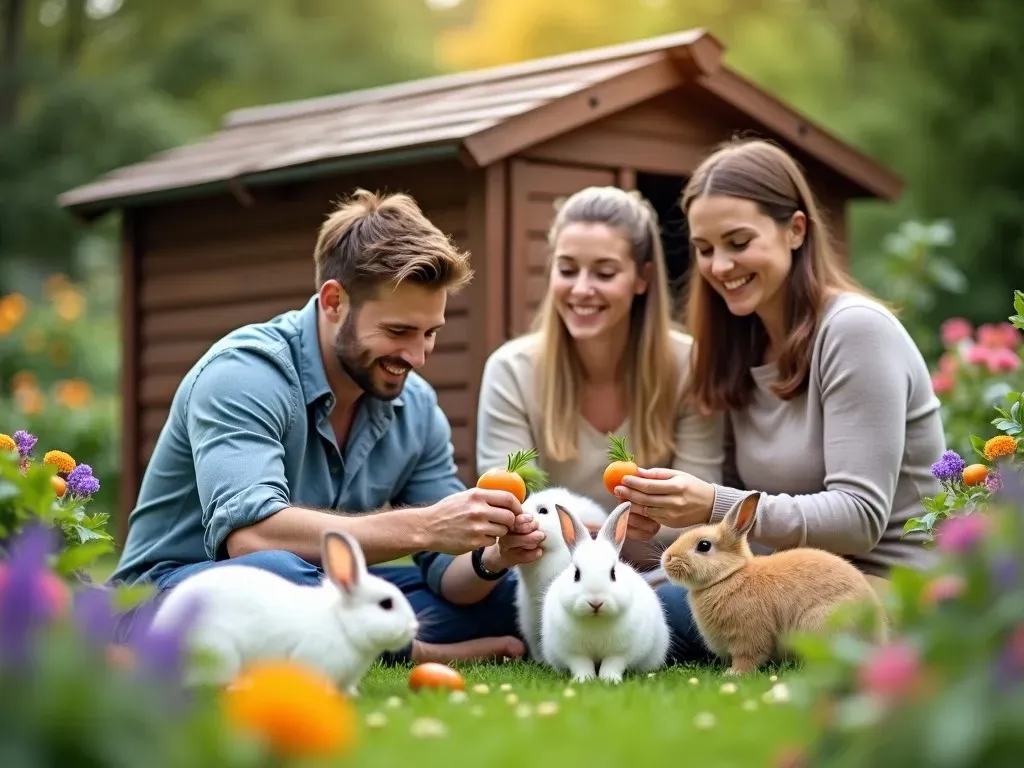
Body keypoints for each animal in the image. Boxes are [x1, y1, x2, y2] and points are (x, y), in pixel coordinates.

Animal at [536, 505, 671, 684]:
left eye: (613, 573)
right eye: (576, 574)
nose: (595, 602)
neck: (596, 621)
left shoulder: (621, 652)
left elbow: (612, 664)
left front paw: (609, 680)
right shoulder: (574, 653)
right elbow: (581, 664)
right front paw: (584, 680)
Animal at [659, 493, 884, 671]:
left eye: (703, 546)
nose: (666, 558)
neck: (730, 575)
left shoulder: (748, 636)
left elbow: (748, 657)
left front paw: (733, 674)